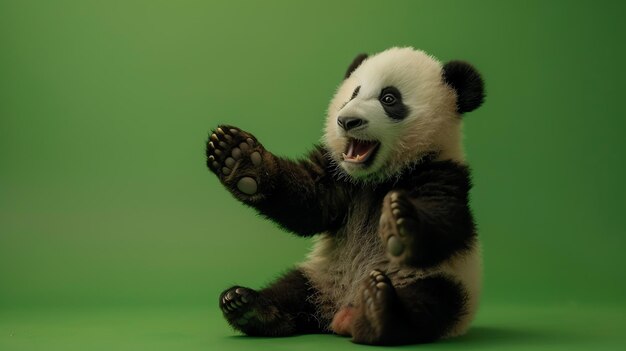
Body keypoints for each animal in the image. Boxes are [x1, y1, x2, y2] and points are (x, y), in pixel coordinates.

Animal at [207, 46, 486, 346]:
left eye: (389, 98)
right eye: (353, 93)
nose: (346, 121)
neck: (378, 178)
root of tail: (340, 311)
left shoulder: (442, 171)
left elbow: (448, 227)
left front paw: (400, 221)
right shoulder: (337, 175)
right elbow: (308, 204)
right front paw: (239, 156)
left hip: (442, 281)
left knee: (430, 304)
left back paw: (378, 313)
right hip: (319, 274)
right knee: (292, 289)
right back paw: (250, 307)